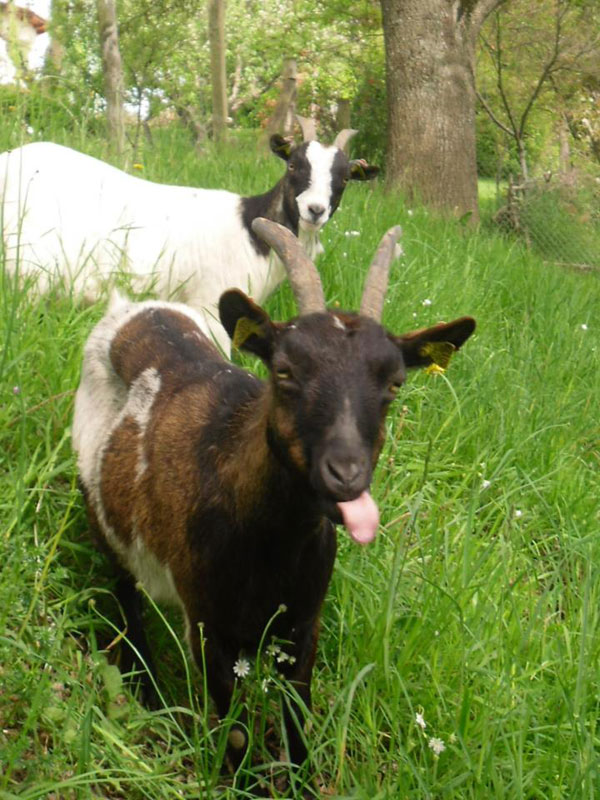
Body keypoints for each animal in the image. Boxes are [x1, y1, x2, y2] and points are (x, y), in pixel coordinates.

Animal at [1, 121, 376, 350]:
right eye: (294, 165)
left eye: (344, 178)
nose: (315, 210)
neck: (250, 229)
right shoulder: (211, 306)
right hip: (28, 273)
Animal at [72, 217, 476, 776]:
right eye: (284, 371)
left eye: (395, 383)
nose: (346, 474)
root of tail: (129, 308)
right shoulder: (209, 623)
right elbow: (237, 731)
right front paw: (234, 778)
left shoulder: (302, 623)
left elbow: (298, 722)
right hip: (104, 519)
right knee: (128, 597)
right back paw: (148, 694)